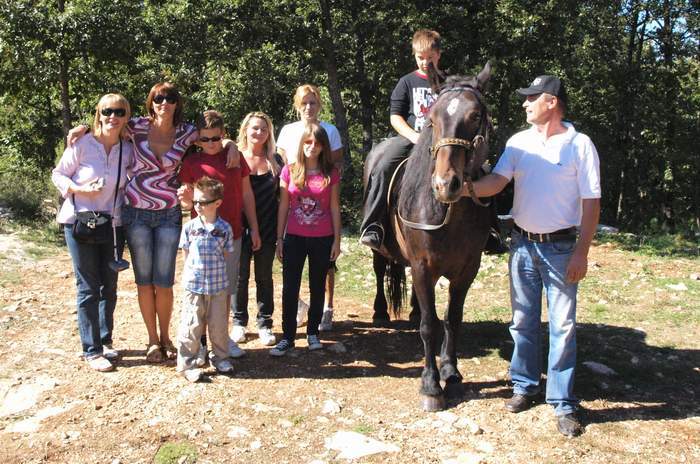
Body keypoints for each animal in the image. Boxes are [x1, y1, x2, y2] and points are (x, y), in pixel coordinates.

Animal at [364, 61, 494, 410]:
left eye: (476, 115)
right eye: (433, 118)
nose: (445, 184)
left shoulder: (468, 269)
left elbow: (451, 319)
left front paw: (451, 370)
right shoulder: (423, 266)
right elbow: (429, 326)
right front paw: (431, 384)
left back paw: (411, 309)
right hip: (380, 251)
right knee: (380, 271)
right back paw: (381, 311)